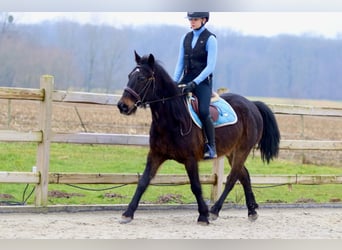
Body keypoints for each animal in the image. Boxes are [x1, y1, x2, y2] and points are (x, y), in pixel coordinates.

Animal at [116, 50, 280, 225]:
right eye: (129, 76)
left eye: (141, 78)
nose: (122, 106)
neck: (173, 119)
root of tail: (252, 104)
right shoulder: (156, 154)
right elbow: (143, 182)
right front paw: (128, 213)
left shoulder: (190, 159)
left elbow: (195, 186)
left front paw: (203, 215)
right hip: (232, 152)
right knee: (244, 176)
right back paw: (251, 211)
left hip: (243, 150)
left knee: (232, 178)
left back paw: (215, 210)